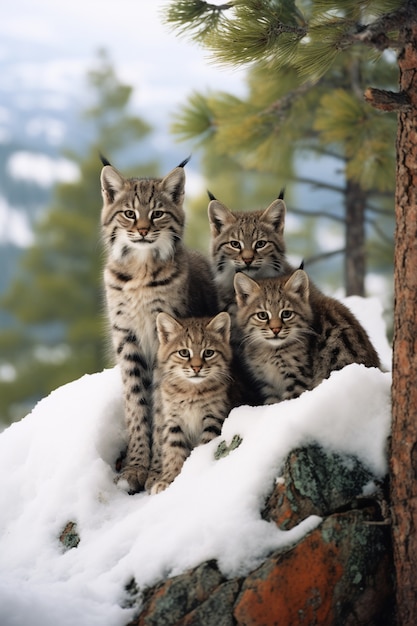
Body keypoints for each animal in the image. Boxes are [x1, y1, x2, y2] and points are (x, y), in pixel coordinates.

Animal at [101, 157, 218, 492]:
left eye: (157, 213)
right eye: (129, 213)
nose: (142, 231)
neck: (140, 269)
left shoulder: (162, 343)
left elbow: (159, 408)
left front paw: (155, 471)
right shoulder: (127, 339)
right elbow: (135, 404)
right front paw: (135, 467)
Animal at [145, 310, 231, 492]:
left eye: (208, 353)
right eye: (184, 353)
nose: (197, 368)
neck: (191, 390)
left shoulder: (213, 418)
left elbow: (204, 445)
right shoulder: (173, 420)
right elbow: (173, 450)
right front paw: (168, 479)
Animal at [234, 270, 380, 404]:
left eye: (286, 314)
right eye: (263, 315)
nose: (276, 329)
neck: (270, 351)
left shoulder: (298, 379)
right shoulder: (268, 384)